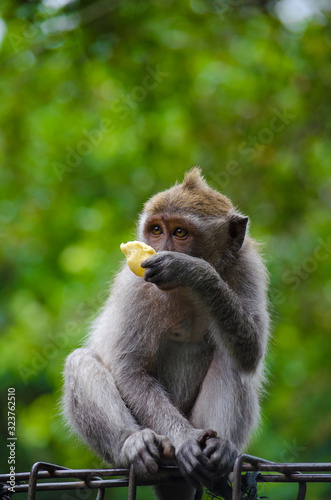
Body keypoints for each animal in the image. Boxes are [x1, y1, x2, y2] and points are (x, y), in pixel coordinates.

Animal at [62, 169, 270, 500]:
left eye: (180, 232)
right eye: (157, 229)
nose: (160, 250)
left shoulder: (247, 267)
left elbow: (250, 352)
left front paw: (195, 271)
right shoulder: (137, 284)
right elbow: (130, 370)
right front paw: (184, 441)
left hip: (202, 424)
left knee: (232, 362)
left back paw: (220, 452)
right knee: (80, 361)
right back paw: (133, 444)